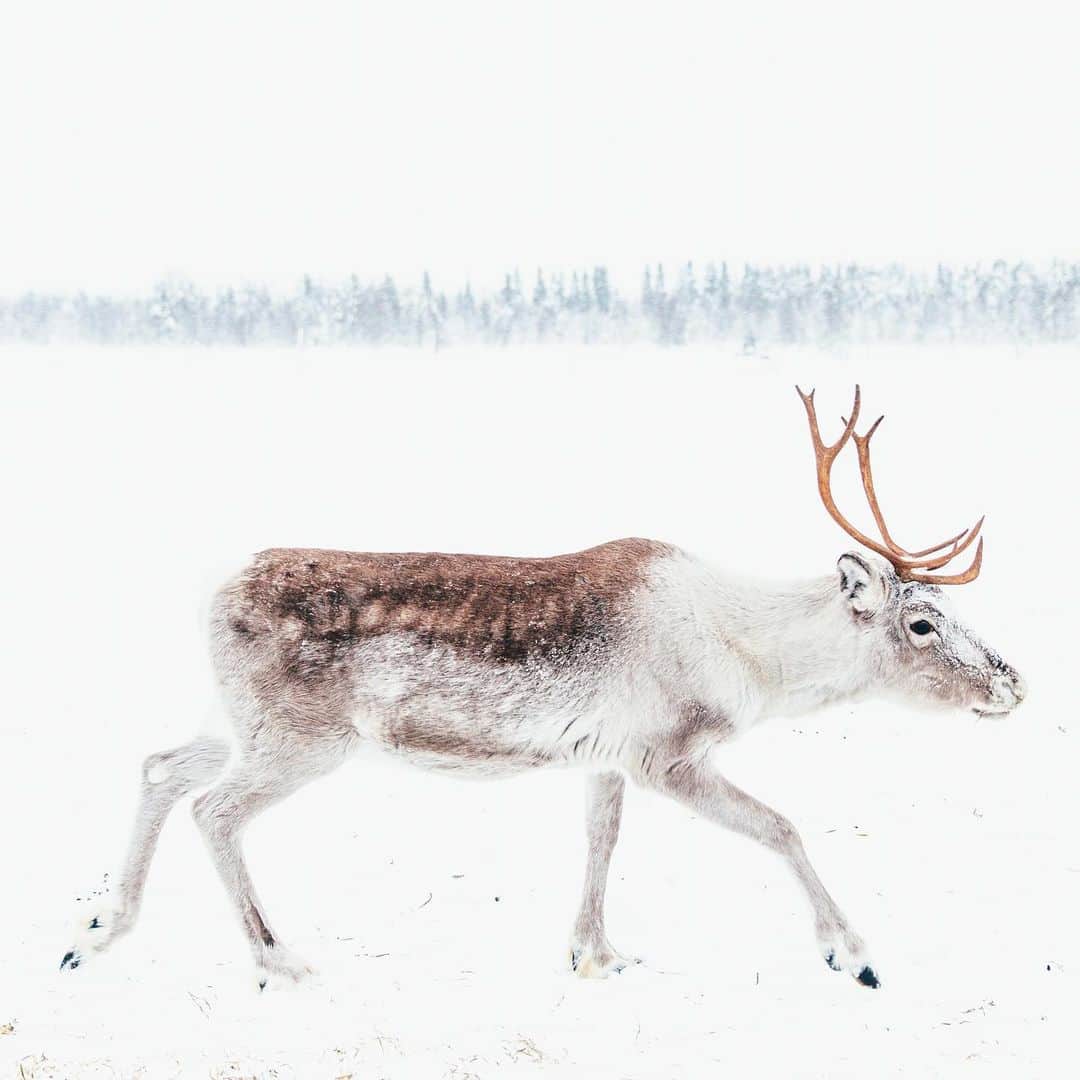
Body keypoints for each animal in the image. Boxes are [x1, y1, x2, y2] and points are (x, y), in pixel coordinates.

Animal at [61, 386, 1026, 991]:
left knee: (160, 767)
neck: (752, 658)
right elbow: (781, 826)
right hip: (304, 739)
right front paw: (853, 954)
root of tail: (215, 589)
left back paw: (98, 932)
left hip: (243, 723)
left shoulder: (605, 758)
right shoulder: (667, 753)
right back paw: (278, 961)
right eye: (922, 623)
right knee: (212, 809)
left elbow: (601, 841)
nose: (1012, 681)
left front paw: (595, 954)